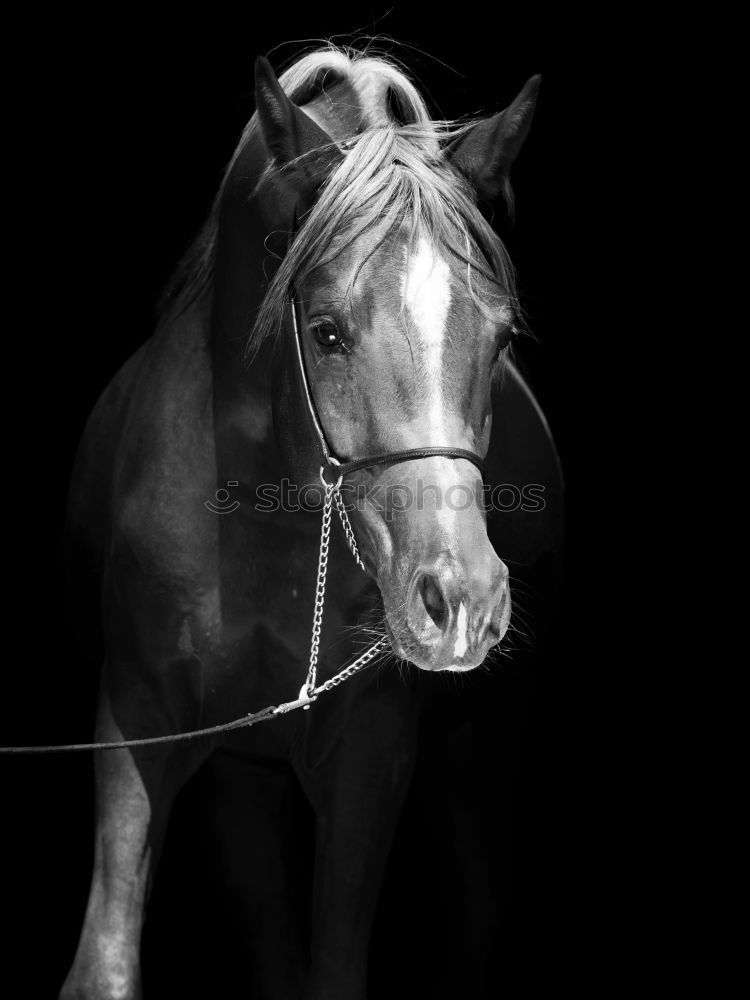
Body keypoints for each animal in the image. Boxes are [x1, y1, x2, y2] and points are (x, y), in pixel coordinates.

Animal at [60, 47, 564, 1000]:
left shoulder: (371, 748)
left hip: (478, 747)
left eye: (501, 339)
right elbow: (106, 958)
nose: (463, 601)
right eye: (327, 332)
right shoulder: (139, 717)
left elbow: (333, 965)